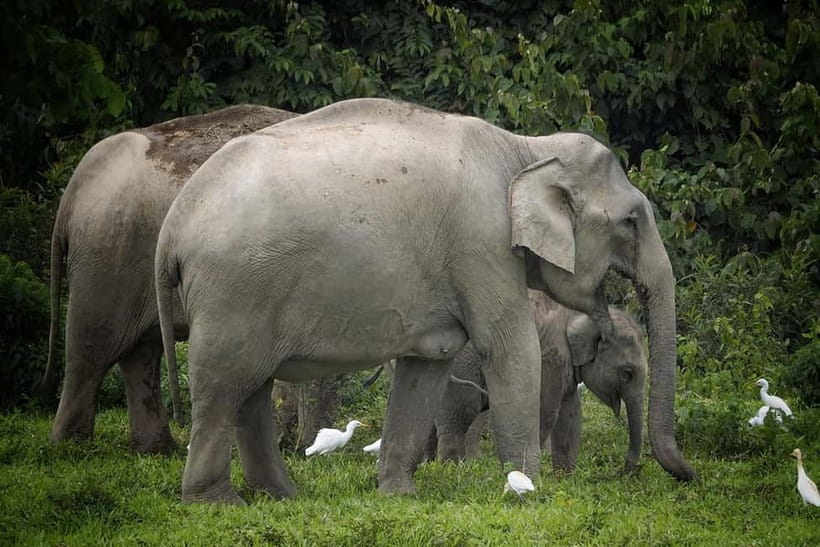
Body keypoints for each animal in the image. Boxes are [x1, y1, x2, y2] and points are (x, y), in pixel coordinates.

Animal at [42, 105, 298, 453]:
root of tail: (74, 189)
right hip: (106, 256)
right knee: (93, 346)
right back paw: (70, 447)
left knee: (140, 352)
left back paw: (156, 450)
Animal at [435, 290, 647, 474]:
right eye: (627, 373)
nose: (627, 469)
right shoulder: (550, 357)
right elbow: (545, 409)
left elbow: (571, 413)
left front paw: (564, 479)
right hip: (463, 365)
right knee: (462, 412)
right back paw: (453, 469)